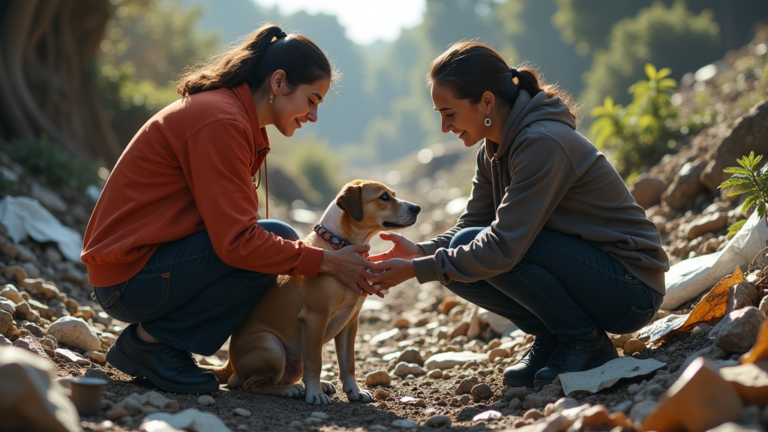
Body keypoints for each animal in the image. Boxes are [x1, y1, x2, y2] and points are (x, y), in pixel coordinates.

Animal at [212, 179, 420, 404]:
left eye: (393, 194)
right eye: (383, 197)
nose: (417, 208)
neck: (338, 243)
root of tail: (229, 364)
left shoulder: (350, 322)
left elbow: (348, 363)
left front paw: (354, 390)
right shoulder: (314, 318)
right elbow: (315, 363)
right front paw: (315, 393)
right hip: (272, 345)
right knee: (250, 385)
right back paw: (290, 390)